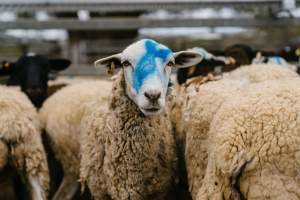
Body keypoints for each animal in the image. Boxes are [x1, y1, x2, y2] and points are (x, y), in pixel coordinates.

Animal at [39, 38, 203, 199]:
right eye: (125, 63)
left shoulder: (158, 192)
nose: (153, 95)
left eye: (170, 63)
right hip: (69, 164)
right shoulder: (101, 191)